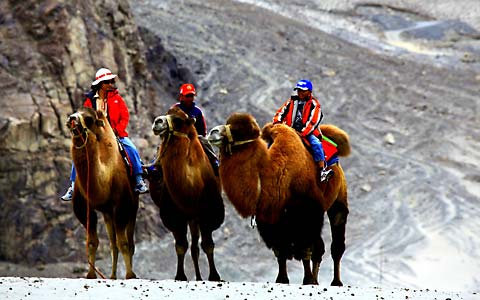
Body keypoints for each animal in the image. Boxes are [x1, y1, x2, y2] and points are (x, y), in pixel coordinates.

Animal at [65, 107, 138, 278]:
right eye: (75, 111)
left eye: (88, 118)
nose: (72, 118)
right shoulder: (83, 207)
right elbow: (92, 242)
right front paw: (91, 274)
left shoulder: (121, 206)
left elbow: (124, 243)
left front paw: (130, 275)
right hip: (107, 214)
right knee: (112, 244)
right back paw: (112, 276)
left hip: (132, 207)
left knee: (129, 242)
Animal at [149, 106, 224, 280]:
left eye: (178, 120)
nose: (157, 121)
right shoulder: (174, 215)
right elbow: (181, 245)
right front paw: (180, 276)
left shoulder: (207, 212)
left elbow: (208, 244)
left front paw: (214, 276)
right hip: (190, 218)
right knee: (192, 246)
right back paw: (197, 276)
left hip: (195, 217)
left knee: (197, 245)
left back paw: (200, 277)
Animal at [208, 113, 350, 286]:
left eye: (239, 131)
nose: (213, 132)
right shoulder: (270, 221)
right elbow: (280, 251)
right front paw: (282, 279)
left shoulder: (308, 213)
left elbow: (305, 248)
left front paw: (307, 280)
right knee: (320, 248)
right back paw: (317, 280)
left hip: (338, 200)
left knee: (336, 243)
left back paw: (336, 282)